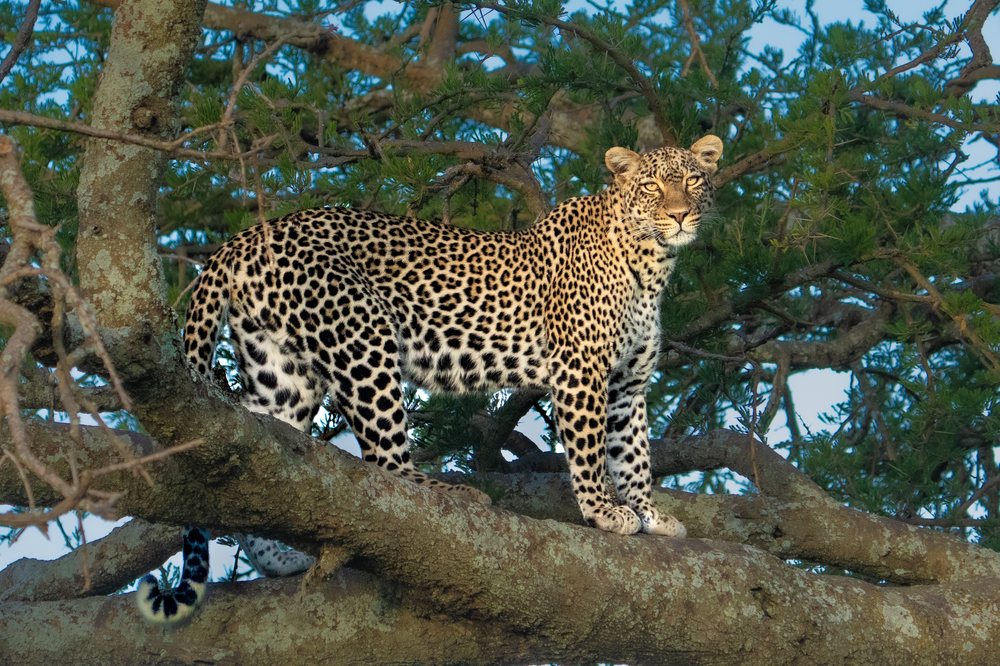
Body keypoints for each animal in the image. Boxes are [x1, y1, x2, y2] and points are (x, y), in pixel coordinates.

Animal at [137, 135, 724, 623]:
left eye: (693, 181)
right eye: (652, 187)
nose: (679, 215)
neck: (652, 264)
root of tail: (245, 236)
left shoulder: (629, 384)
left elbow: (635, 456)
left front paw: (649, 512)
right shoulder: (582, 370)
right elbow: (589, 451)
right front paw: (604, 511)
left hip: (282, 369)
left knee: (262, 449)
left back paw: (279, 555)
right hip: (363, 334)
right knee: (385, 461)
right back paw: (449, 493)